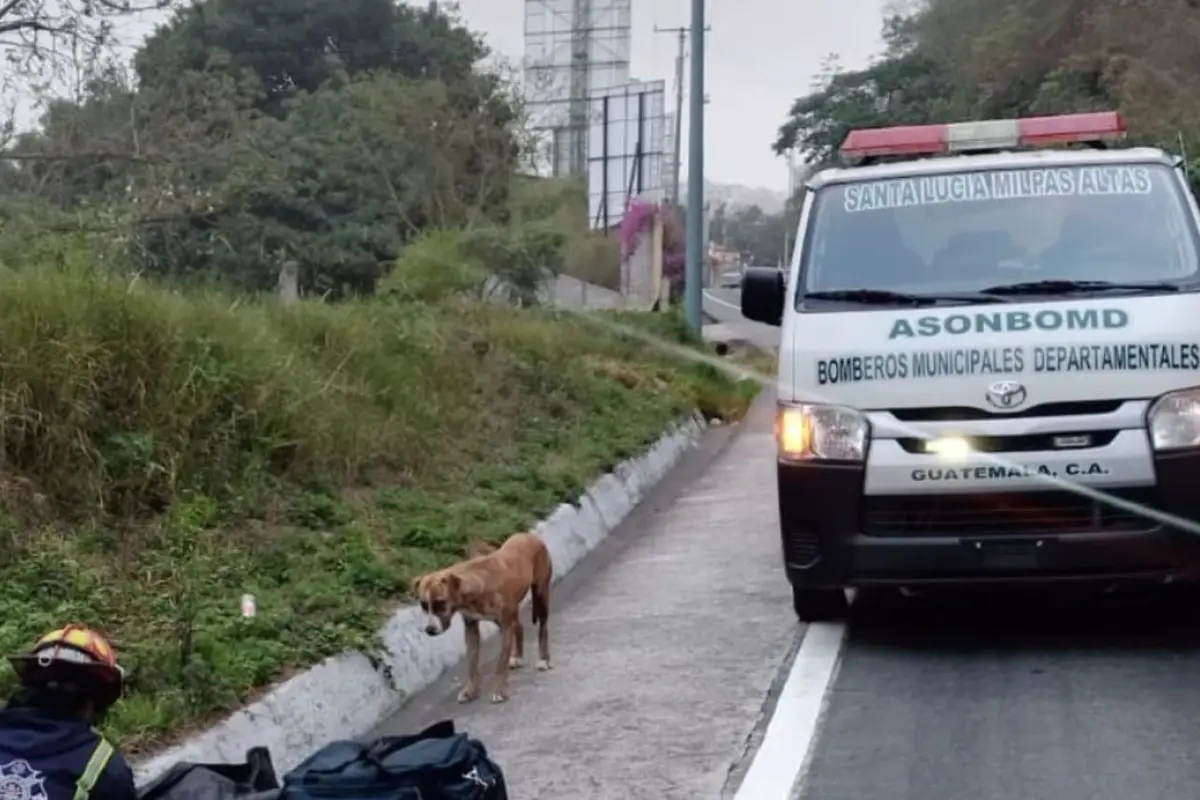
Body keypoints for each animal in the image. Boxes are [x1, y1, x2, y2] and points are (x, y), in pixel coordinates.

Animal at [412, 534, 552, 705]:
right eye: (424, 605)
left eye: (441, 602)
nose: (430, 630)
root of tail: (530, 536)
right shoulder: (471, 627)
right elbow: (472, 663)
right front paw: (470, 690)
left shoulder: (505, 627)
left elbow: (501, 664)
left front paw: (499, 690)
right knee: (519, 625)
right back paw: (518, 656)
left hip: (541, 594)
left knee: (542, 627)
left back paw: (544, 659)